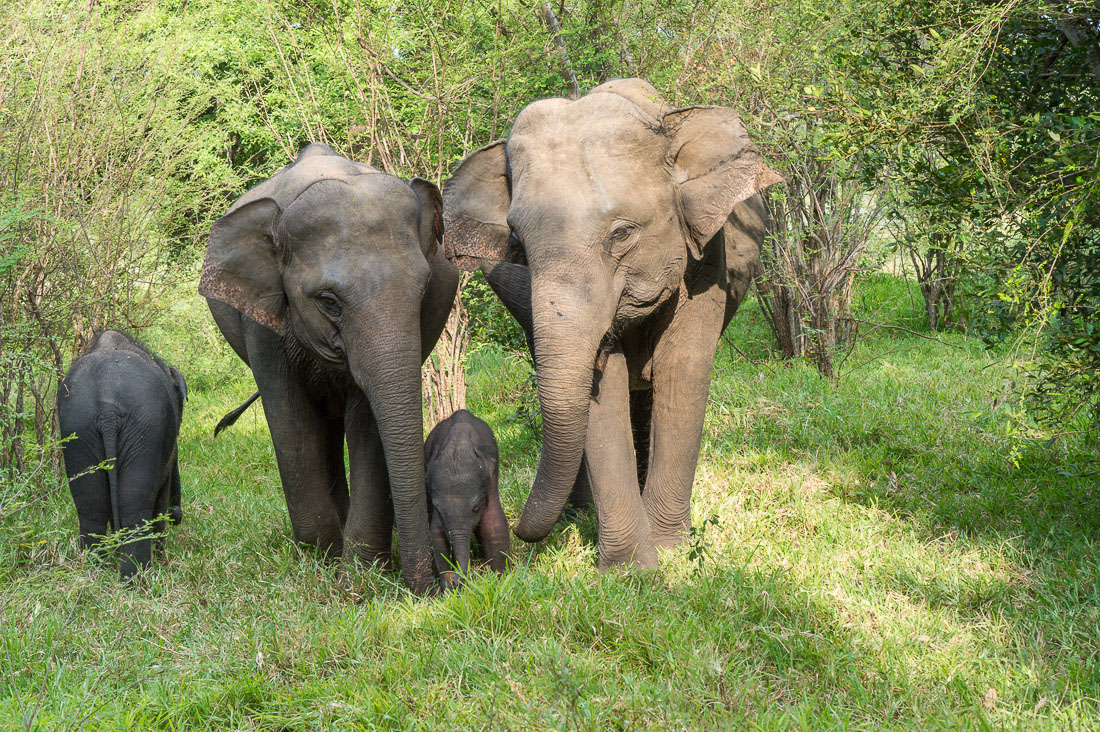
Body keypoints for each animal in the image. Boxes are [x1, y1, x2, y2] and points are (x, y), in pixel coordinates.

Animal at [57, 330, 187, 576]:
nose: (177, 514)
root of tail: (107, 405)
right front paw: (161, 557)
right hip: (144, 427)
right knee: (135, 507)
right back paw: (136, 577)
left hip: (78, 428)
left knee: (91, 508)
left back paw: (95, 572)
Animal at [200, 143, 457, 594]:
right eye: (329, 302)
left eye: (424, 289)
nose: (435, 587)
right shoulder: (262, 321)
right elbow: (290, 421)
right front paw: (323, 561)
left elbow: (369, 423)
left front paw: (358, 576)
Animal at [424, 411, 510, 590]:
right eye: (438, 509)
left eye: (476, 506)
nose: (455, 579)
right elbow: (436, 532)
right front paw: (445, 584)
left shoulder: (490, 481)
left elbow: (493, 523)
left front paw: (501, 579)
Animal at [442, 81, 778, 572]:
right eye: (517, 244)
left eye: (621, 234)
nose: (520, 531)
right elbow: (604, 394)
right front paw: (631, 569)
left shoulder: (706, 256)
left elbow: (682, 370)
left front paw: (669, 551)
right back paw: (581, 514)